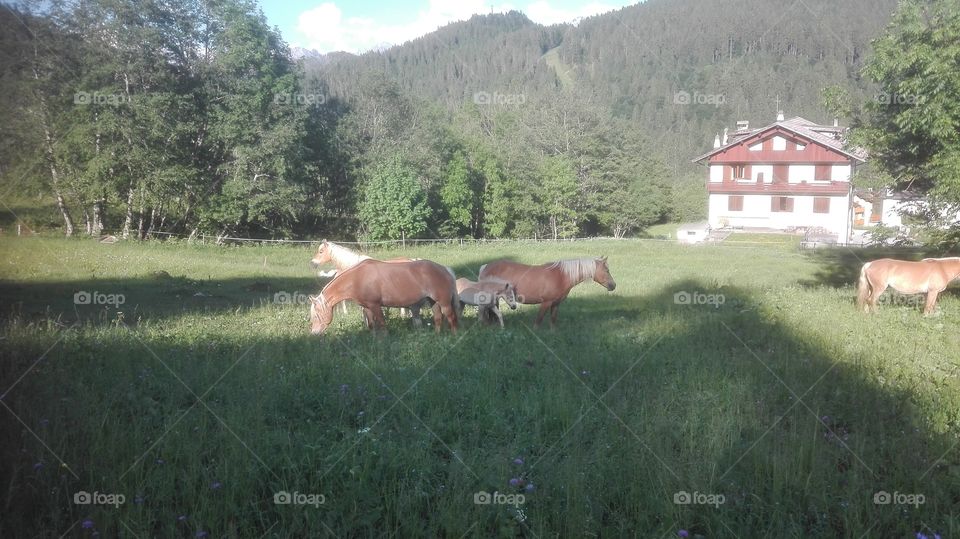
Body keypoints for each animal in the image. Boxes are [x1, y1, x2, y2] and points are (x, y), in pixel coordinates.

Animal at [309, 259, 459, 335]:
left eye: (316, 315)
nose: (314, 333)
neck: (357, 278)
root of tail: (445, 269)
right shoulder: (367, 307)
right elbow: (371, 325)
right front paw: (374, 340)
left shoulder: (375, 305)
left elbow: (381, 323)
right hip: (433, 301)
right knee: (438, 318)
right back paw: (437, 336)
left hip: (444, 302)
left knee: (451, 317)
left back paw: (453, 336)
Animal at [478, 257, 616, 327]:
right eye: (607, 270)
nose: (613, 285)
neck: (561, 276)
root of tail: (486, 266)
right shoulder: (546, 303)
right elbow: (538, 321)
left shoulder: (556, 304)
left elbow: (553, 321)